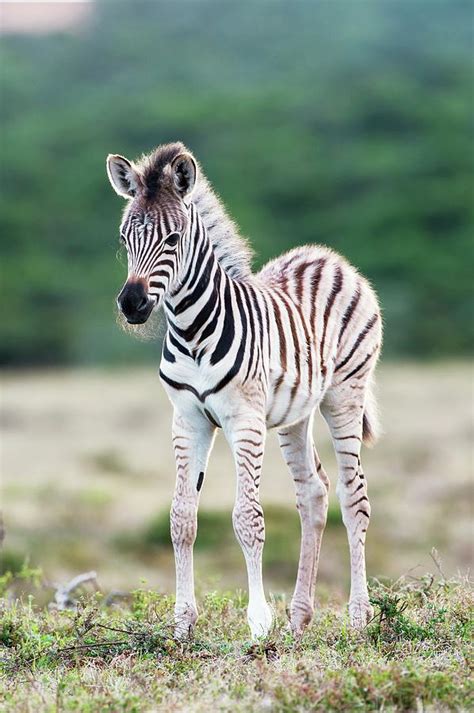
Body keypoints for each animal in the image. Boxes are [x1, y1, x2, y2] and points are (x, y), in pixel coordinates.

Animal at [106, 142, 382, 636]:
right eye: (124, 240)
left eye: (172, 240)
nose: (131, 305)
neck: (192, 331)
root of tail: (327, 257)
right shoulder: (187, 420)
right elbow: (181, 518)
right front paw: (183, 623)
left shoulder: (244, 419)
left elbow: (248, 518)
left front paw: (258, 622)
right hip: (296, 415)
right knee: (313, 493)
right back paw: (299, 618)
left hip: (344, 395)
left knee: (354, 498)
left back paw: (357, 618)